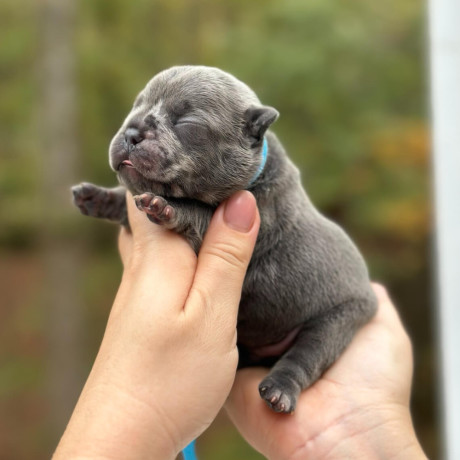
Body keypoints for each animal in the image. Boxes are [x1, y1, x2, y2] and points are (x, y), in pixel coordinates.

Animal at [73, 66, 378, 416]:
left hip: (339, 319)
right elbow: (126, 199)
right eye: (136, 107)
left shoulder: (257, 218)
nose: (132, 130)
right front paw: (98, 197)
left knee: (308, 355)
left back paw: (281, 390)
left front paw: (168, 207)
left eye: (186, 123)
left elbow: (198, 212)